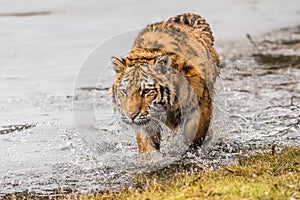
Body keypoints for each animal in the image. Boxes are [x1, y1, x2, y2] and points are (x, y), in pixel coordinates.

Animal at [109, 12, 219, 155]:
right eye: (124, 91)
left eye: (146, 91)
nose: (131, 115)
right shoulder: (146, 122)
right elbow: (147, 146)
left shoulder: (201, 103)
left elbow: (194, 133)